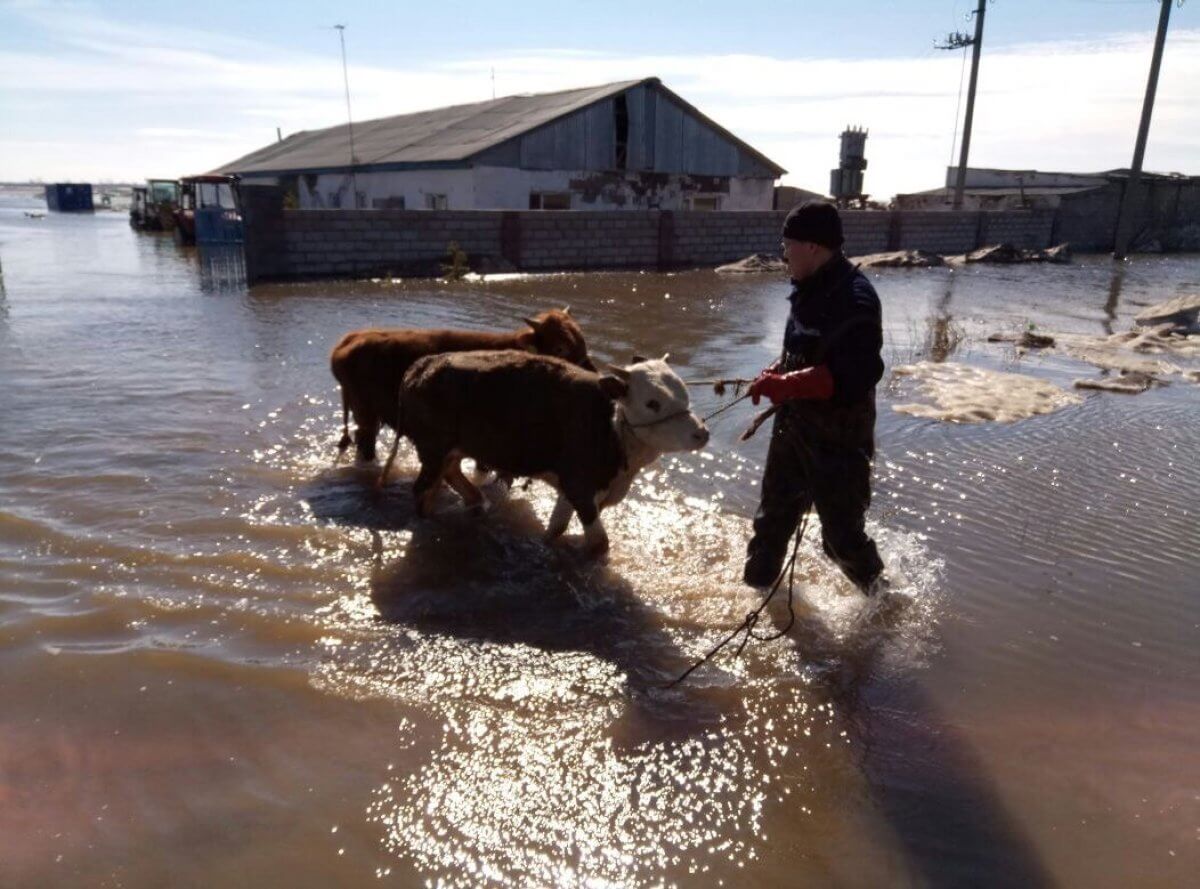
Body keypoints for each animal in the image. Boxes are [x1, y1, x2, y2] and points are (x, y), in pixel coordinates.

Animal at [331, 307, 592, 458]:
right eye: (560, 347)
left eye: (583, 339)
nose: (592, 373)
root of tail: (348, 340)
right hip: (365, 411)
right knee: (365, 442)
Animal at [391, 347, 710, 551]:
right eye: (652, 403)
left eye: (685, 393)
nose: (702, 434)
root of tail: (422, 365)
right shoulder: (580, 487)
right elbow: (599, 543)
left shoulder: (572, 490)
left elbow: (556, 527)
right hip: (433, 448)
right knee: (424, 488)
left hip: (451, 449)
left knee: (451, 472)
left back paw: (476, 502)